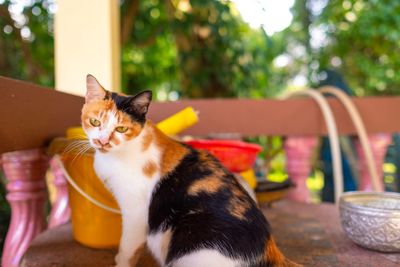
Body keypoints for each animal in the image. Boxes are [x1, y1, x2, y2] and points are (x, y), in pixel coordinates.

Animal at [82, 75, 296, 267]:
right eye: (95, 122)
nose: (102, 141)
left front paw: (120, 262)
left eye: (121, 129)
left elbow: (127, 249)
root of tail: (271, 250)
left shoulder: (136, 212)